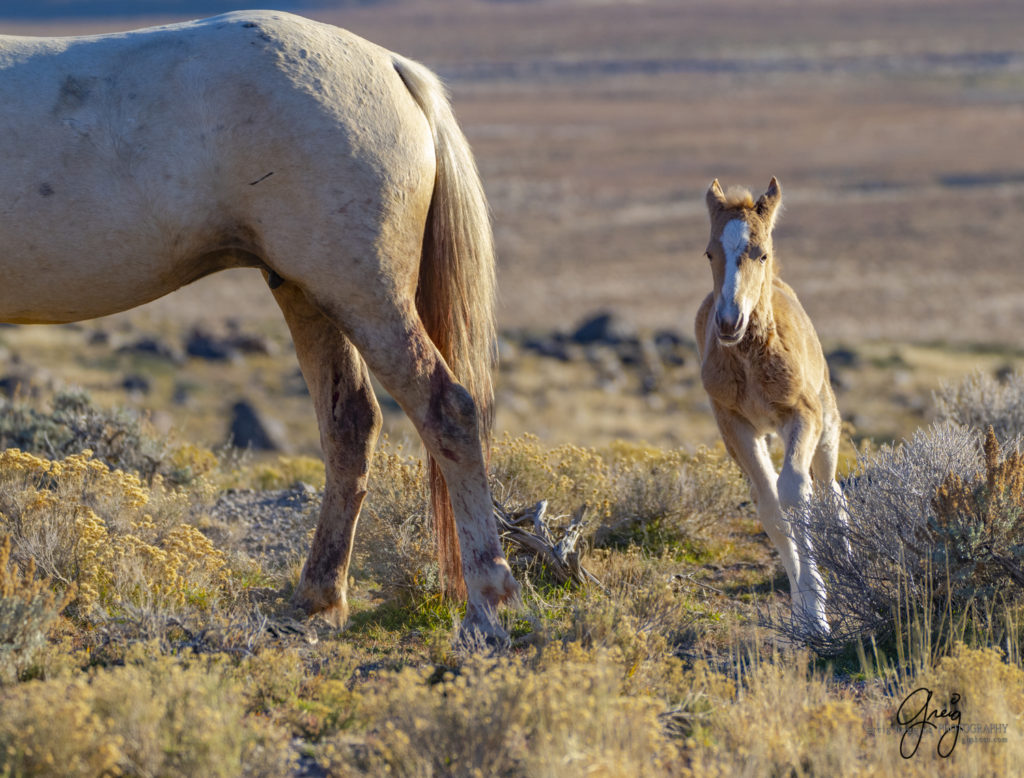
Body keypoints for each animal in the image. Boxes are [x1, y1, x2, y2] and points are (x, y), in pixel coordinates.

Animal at [0, 10, 516, 630]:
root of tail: (391, 66)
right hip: (304, 292)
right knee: (351, 424)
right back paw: (318, 597)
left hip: (364, 293)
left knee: (448, 412)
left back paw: (485, 602)